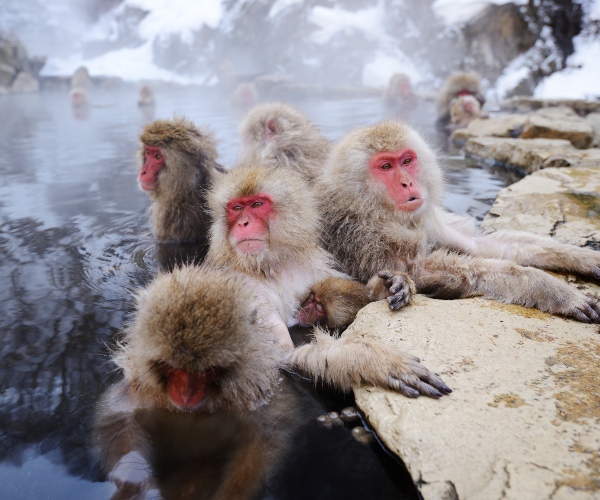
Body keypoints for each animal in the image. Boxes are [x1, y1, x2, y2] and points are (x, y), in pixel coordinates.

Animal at [206, 164, 450, 398]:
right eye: (237, 208)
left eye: (257, 204)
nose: (244, 223)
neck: (271, 265)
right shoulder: (245, 287)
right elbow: (280, 358)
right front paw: (368, 359)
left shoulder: (314, 266)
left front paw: (391, 285)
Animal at [316, 121, 600, 324]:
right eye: (385, 166)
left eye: (407, 161)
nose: (407, 183)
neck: (370, 208)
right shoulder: (361, 234)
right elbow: (425, 270)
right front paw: (554, 290)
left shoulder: (426, 219)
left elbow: (480, 244)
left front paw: (585, 258)